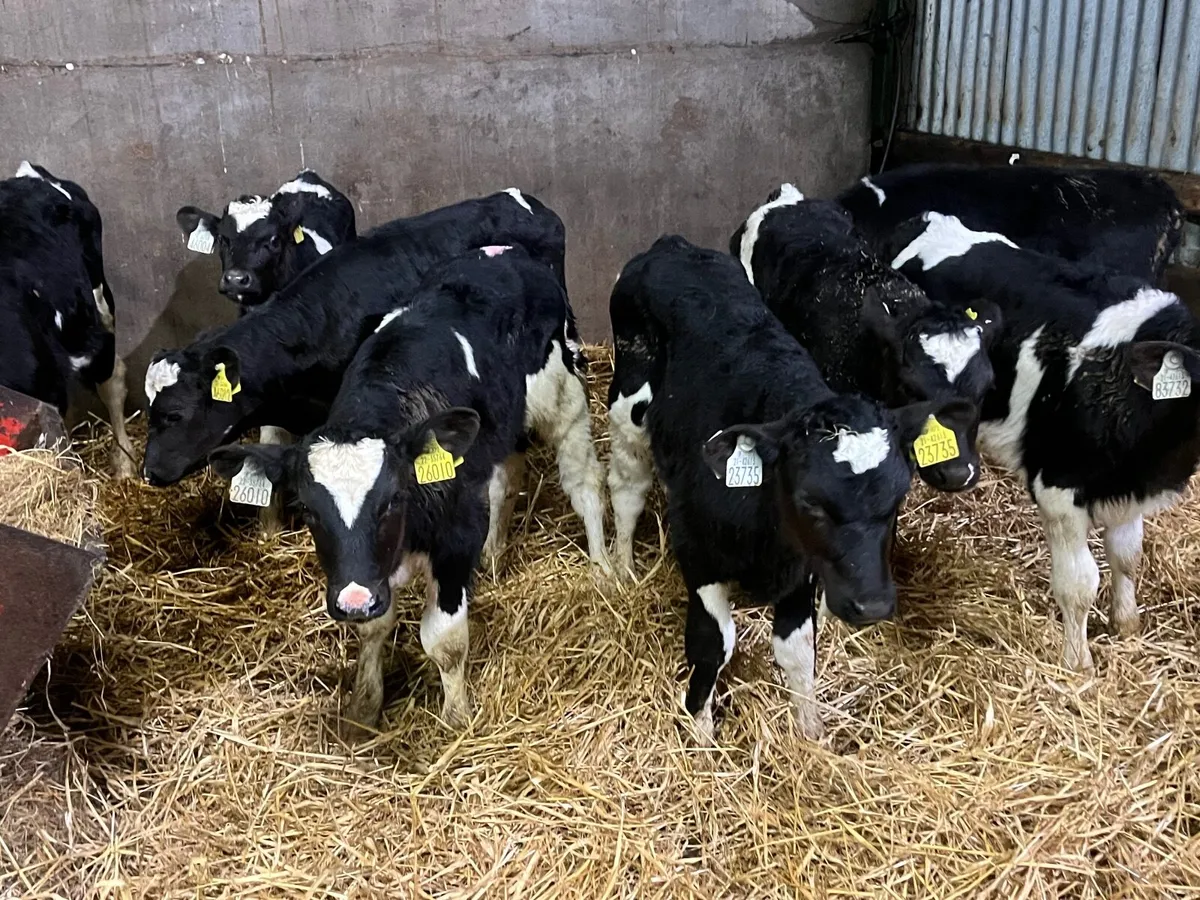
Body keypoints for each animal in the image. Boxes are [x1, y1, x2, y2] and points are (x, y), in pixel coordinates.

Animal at [208, 245, 593, 733]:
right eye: (309, 511)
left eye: (392, 500)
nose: (353, 602)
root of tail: (506, 252)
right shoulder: (367, 574)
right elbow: (374, 628)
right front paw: (362, 709)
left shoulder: (455, 537)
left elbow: (444, 639)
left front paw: (457, 717)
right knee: (505, 482)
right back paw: (494, 555)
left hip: (564, 396)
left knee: (584, 481)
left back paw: (607, 569)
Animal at [606, 235, 972, 739]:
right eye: (810, 503)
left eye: (897, 501)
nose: (873, 604)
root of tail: (672, 245)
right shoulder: (697, 551)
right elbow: (712, 643)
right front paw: (700, 731)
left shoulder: (804, 568)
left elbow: (796, 650)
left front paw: (811, 732)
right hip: (629, 407)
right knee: (627, 489)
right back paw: (621, 566)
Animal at [889, 211, 1200, 675]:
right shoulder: (1060, 487)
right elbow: (1079, 584)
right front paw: (1078, 662)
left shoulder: (1129, 488)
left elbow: (1127, 556)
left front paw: (1126, 625)